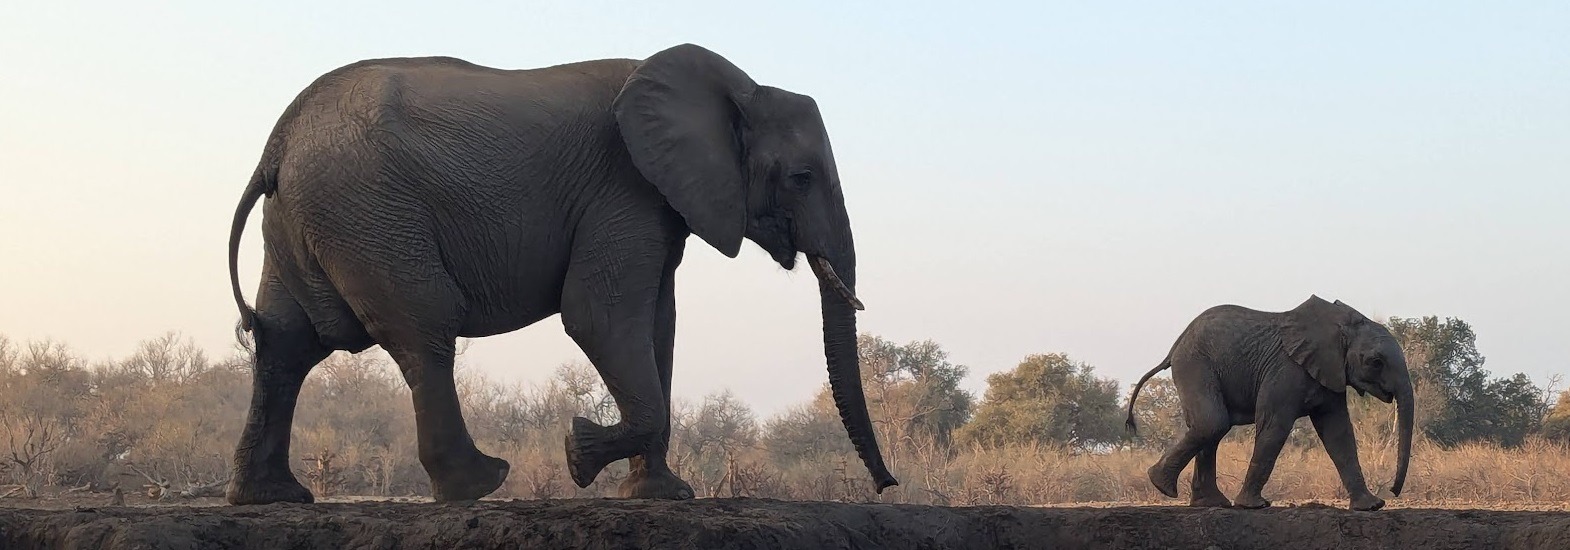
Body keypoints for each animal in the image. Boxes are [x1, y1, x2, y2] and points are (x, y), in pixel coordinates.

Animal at [221, 44, 898, 506]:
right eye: (802, 178)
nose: (888, 486)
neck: (735, 87)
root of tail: (278, 144)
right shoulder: (624, 188)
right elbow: (600, 317)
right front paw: (578, 454)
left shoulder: (658, 203)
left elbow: (658, 325)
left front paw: (661, 495)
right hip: (370, 213)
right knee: (424, 326)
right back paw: (480, 483)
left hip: (311, 218)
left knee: (286, 342)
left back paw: (273, 497)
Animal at [1130, 297, 1413, 512]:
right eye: (1375, 362)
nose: (1393, 490)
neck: (1338, 324)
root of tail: (1175, 346)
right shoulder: (1286, 370)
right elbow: (1275, 426)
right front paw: (1254, 506)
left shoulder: (1329, 373)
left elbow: (1338, 433)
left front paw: (1371, 507)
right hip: (1195, 364)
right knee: (1212, 423)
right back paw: (1162, 485)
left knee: (1211, 427)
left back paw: (1210, 503)